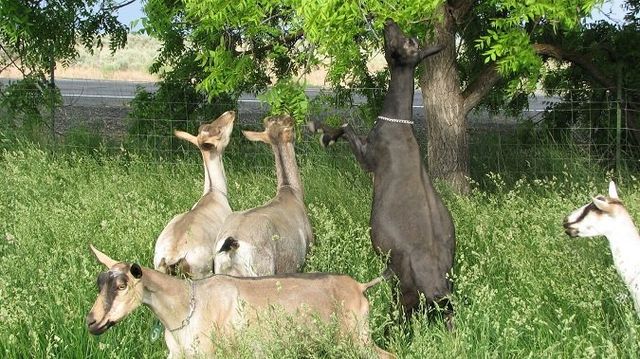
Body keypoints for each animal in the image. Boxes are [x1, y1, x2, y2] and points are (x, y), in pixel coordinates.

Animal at [85, 246, 396, 358]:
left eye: (122, 285)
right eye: (100, 282)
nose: (92, 321)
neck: (186, 305)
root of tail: (360, 286)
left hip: (357, 338)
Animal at [308, 19, 456, 326]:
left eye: (408, 41)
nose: (389, 22)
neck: (398, 123)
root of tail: (435, 284)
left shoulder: (369, 157)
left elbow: (346, 126)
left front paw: (324, 134)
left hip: (402, 291)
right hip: (441, 301)